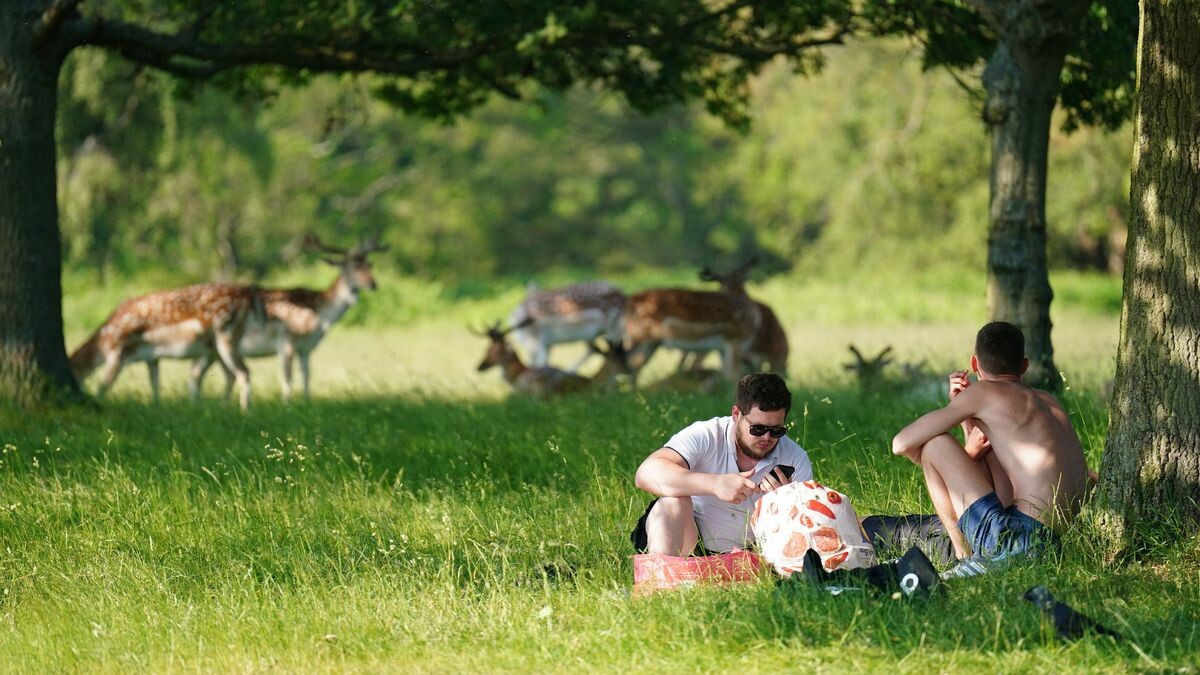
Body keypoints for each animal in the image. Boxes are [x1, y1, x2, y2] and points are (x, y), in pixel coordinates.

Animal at [69, 281, 259, 408]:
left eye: (75, 373)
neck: (103, 343)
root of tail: (247, 295)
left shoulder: (118, 353)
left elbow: (104, 384)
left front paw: (96, 401)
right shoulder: (151, 357)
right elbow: (154, 382)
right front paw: (156, 405)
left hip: (226, 337)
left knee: (243, 371)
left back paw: (244, 410)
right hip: (216, 347)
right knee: (227, 374)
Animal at [192, 233, 386, 398]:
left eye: (370, 265)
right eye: (354, 266)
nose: (373, 283)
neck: (320, 316)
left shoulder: (306, 348)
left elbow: (307, 376)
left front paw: (307, 401)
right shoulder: (287, 340)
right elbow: (288, 377)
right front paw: (287, 403)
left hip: (213, 350)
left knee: (198, 374)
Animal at [619, 255, 758, 384]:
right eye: (721, 285)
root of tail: (628, 301)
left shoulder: (722, 348)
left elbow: (728, 377)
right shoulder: (735, 340)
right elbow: (733, 376)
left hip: (651, 342)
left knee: (635, 367)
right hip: (638, 335)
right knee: (627, 363)